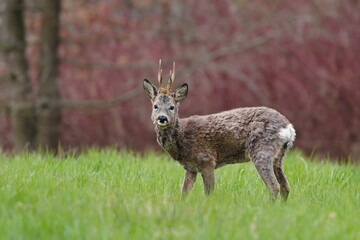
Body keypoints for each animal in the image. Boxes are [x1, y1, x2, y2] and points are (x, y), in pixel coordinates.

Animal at [143, 60, 296, 201]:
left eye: (172, 107)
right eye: (155, 106)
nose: (162, 118)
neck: (181, 139)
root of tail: (288, 128)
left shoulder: (207, 160)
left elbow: (208, 192)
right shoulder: (191, 168)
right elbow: (184, 193)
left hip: (262, 149)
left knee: (274, 186)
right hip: (279, 156)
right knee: (285, 186)